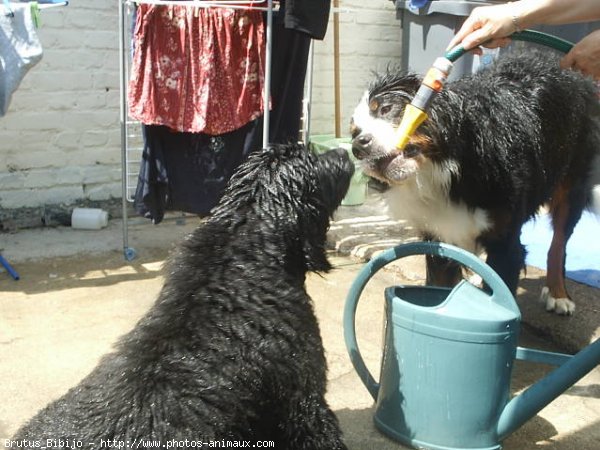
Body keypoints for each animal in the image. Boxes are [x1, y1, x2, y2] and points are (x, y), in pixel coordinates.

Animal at [352, 49, 600, 314]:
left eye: (385, 109)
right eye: (354, 131)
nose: (358, 146)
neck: (447, 172)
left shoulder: (505, 243)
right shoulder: (439, 241)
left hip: (571, 185)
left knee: (558, 245)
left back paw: (558, 293)